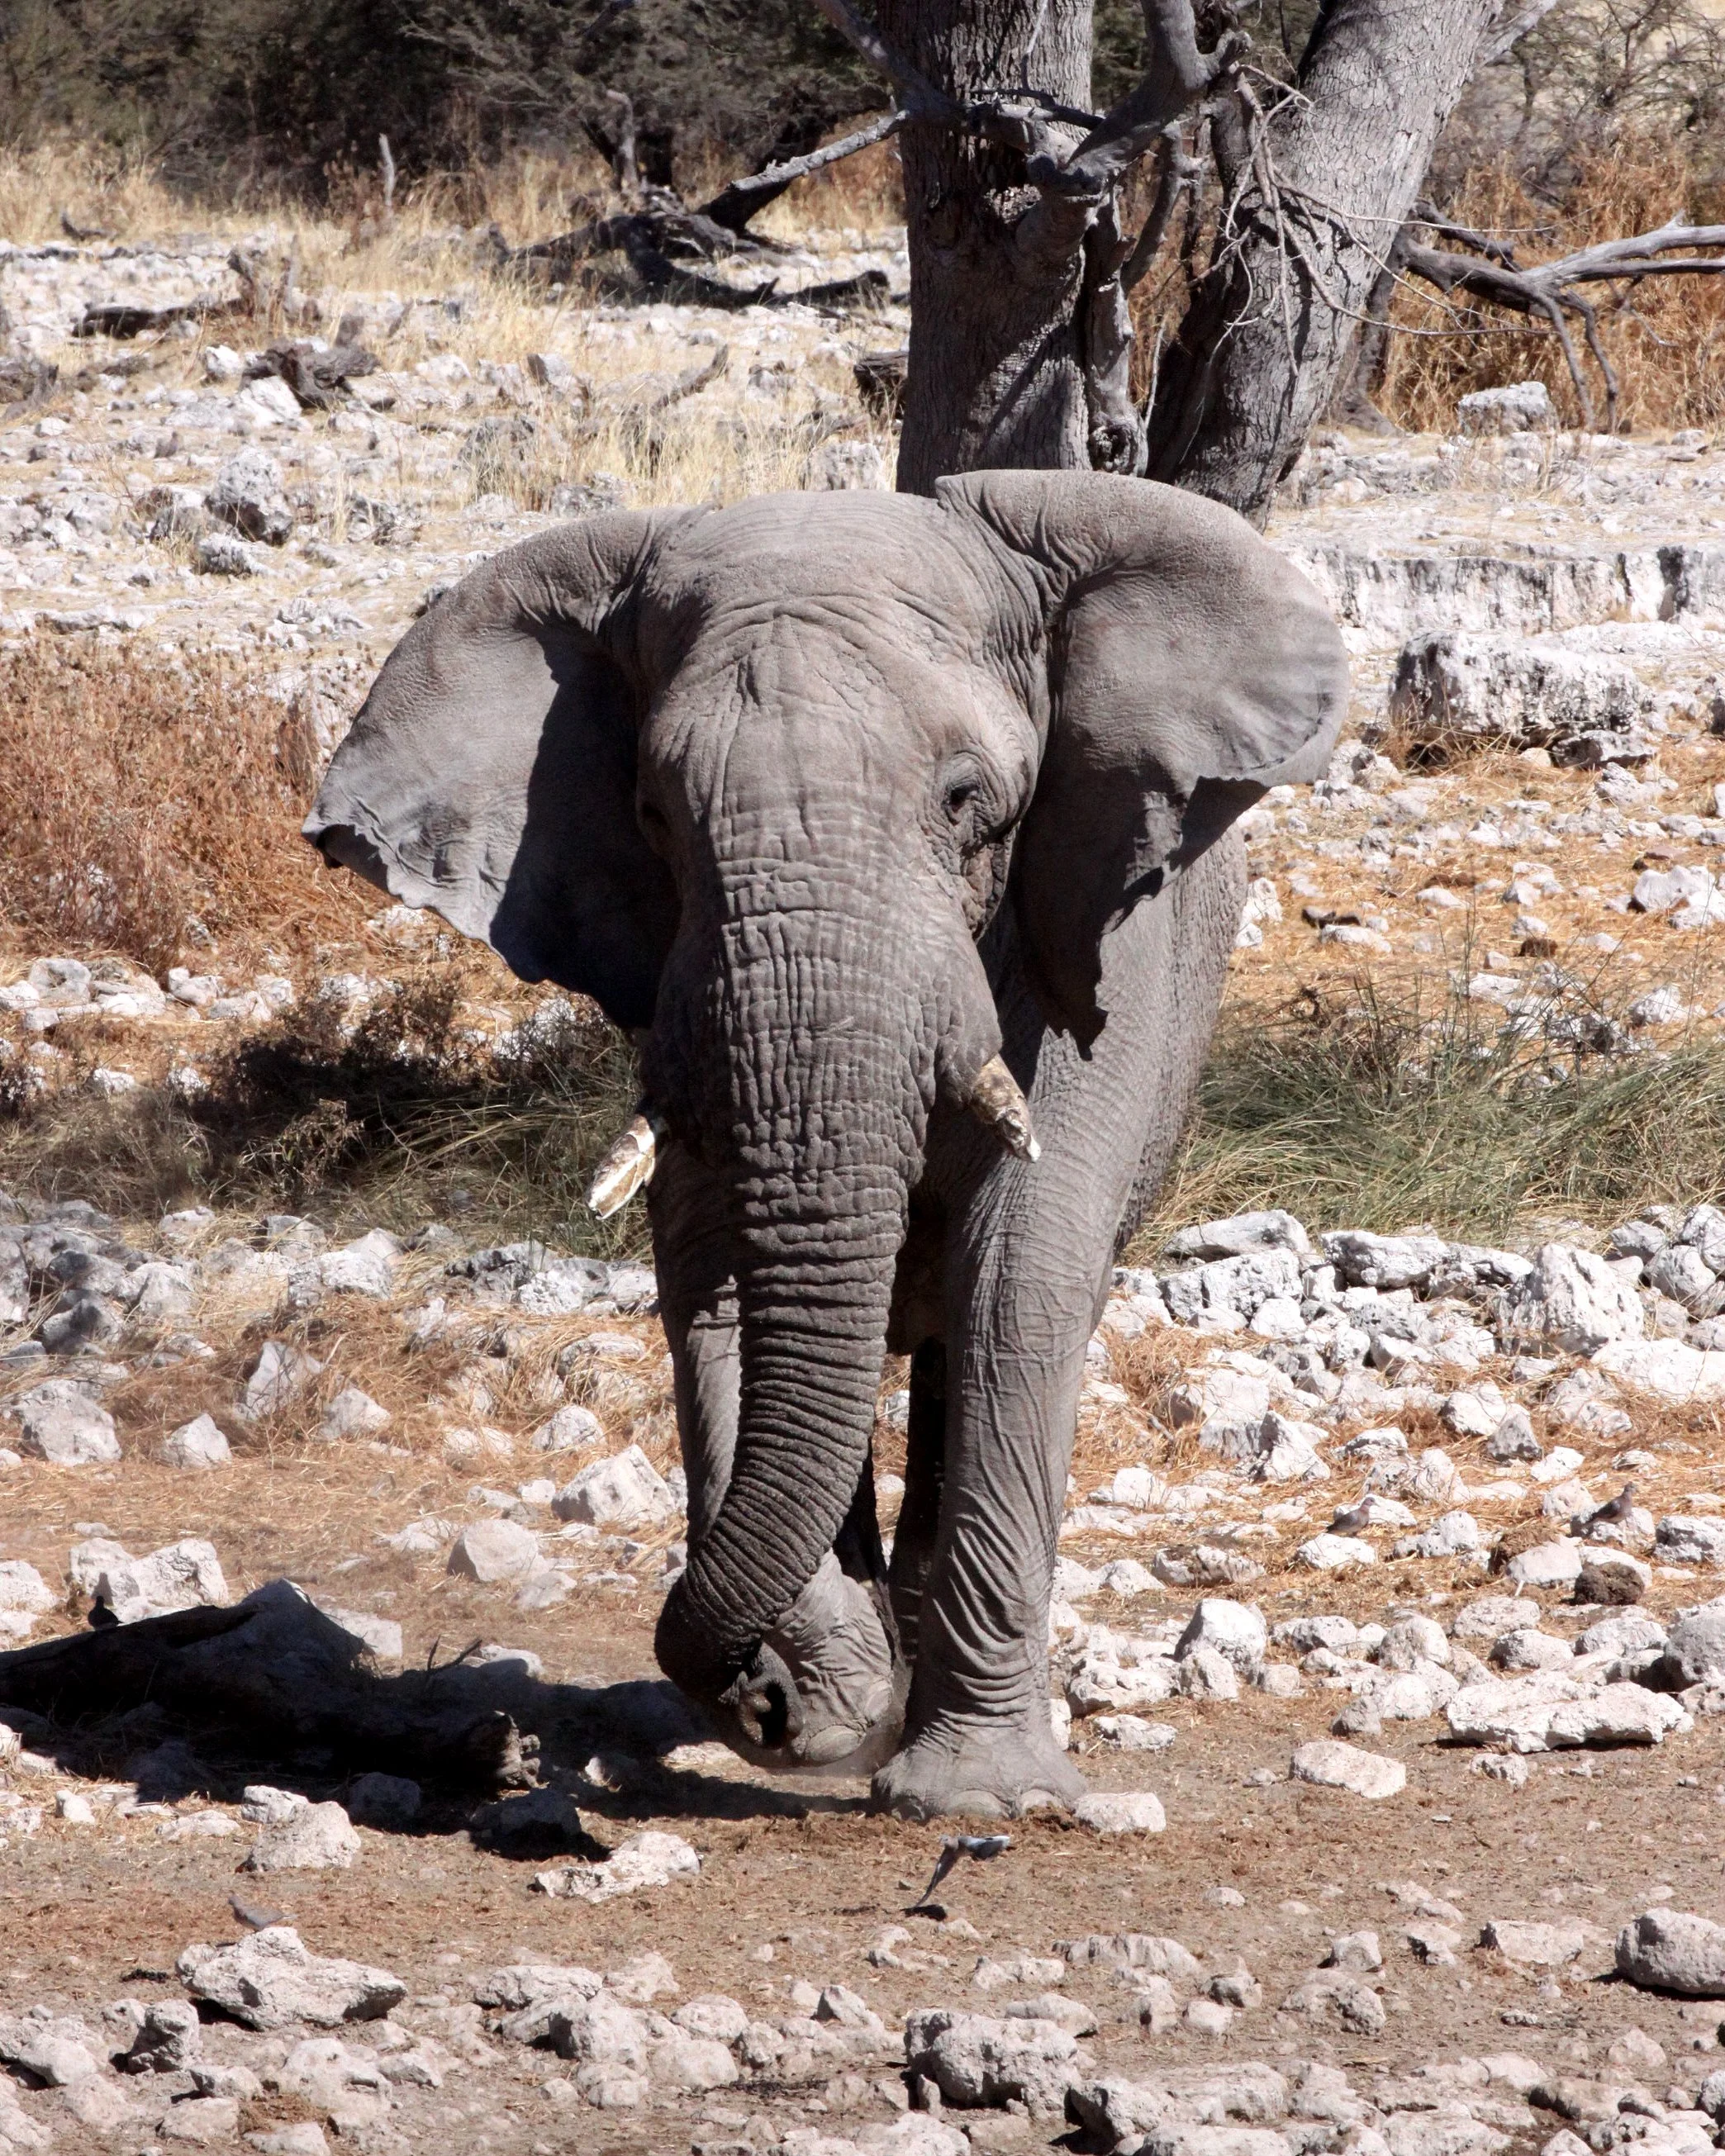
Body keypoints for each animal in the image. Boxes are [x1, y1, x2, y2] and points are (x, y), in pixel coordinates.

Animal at [303, 468, 1348, 1821]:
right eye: (654, 814)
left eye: (968, 803)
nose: (757, 1696)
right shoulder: (685, 992)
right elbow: (713, 1273)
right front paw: (834, 1698)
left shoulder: (1108, 934)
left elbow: (1022, 1267)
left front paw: (976, 1797)